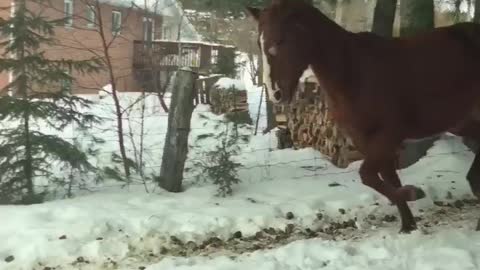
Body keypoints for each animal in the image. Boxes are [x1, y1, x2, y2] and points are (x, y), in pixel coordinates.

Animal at [248, 0, 480, 232]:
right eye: (259, 43)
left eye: (280, 41)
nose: (275, 94)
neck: (354, 73)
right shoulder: (365, 139)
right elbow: (386, 178)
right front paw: (408, 225)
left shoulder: (387, 136)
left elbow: (367, 175)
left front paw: (414, 193)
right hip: (464, 124)